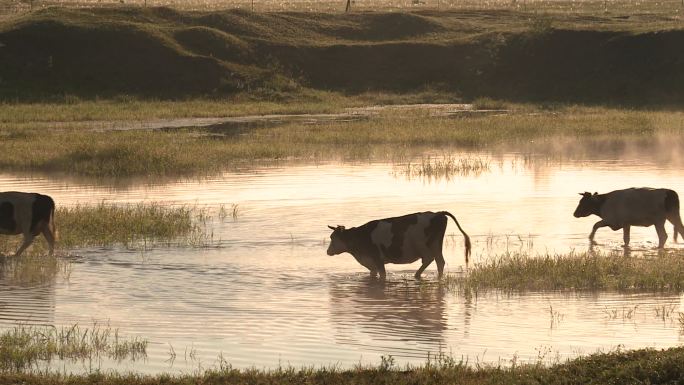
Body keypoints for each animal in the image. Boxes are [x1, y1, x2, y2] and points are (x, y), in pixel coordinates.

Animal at [326, 210, 470, 280]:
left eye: (332, 237)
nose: (327, 251)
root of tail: (438, 213)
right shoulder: (371, 263)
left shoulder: (377, 259)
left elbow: (382, 275)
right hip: (436, 245)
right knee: (439, 261)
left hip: (426, 245)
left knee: (431, 260)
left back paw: (418, 275)